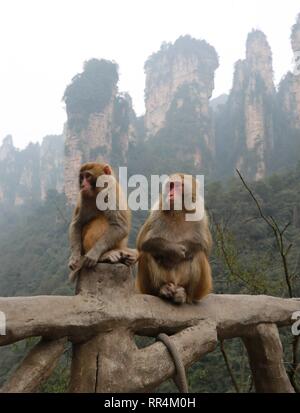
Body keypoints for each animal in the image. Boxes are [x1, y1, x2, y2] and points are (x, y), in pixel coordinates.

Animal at [137, 172, 212, 304]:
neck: (179, 212)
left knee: (199, 253)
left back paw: (184, 294)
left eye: (178, 186)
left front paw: (184, 250)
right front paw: (173, 250)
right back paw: (161, 290)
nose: (171, 194)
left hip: (198, 289)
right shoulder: (157, 211)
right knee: (146, 252)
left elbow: (204, 246)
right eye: (170, 186)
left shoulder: (200, 214)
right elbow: (143, 243)